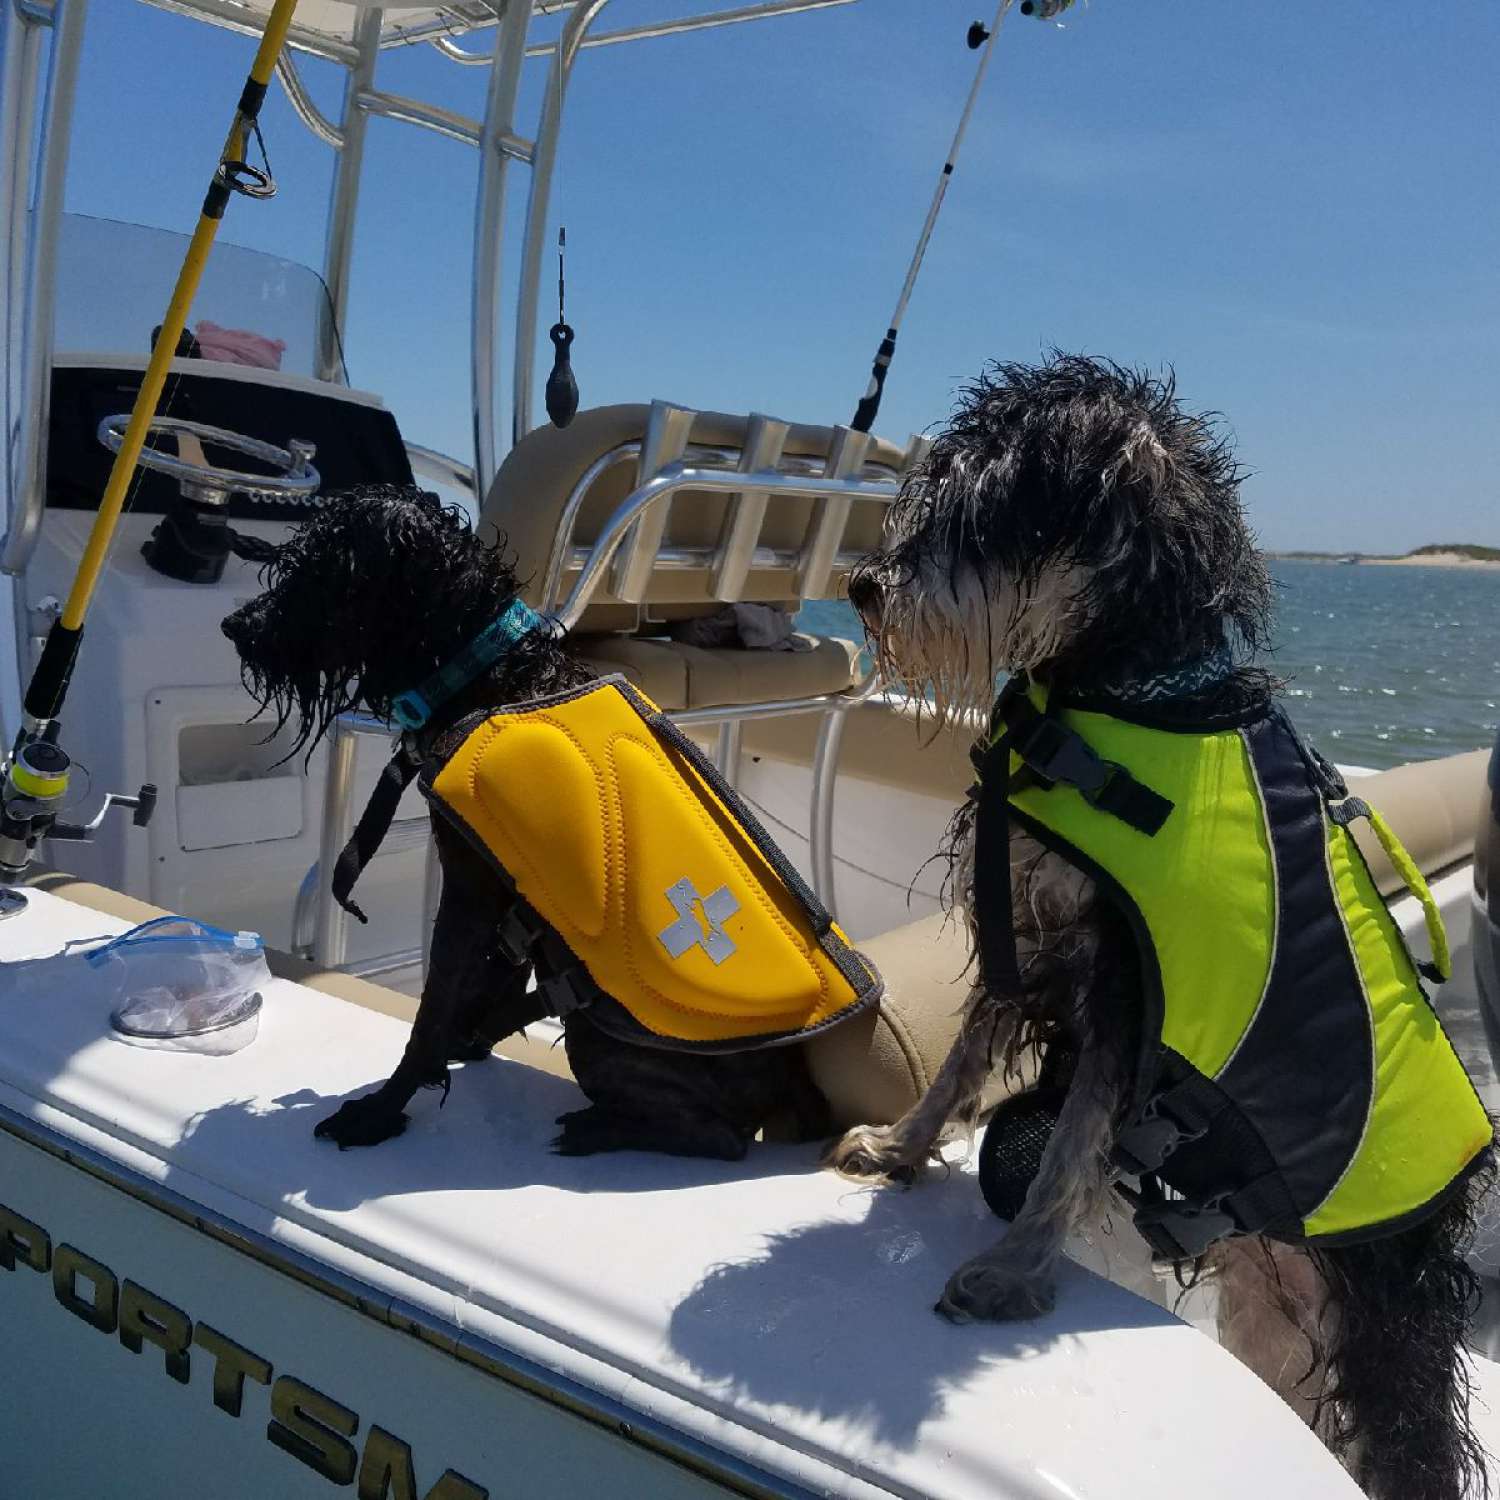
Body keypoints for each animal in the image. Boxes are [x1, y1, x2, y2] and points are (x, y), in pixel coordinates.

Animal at [225, 489, 834, 1158]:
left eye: (321, 573)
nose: (238, 626)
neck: (495, 675)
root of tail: (799, 1083)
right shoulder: (507, 905)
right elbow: (490, 986)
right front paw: (462, 1048)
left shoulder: (469, 890)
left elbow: (431, 1010)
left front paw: (379, 1111)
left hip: (599, 1041)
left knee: (724, 1139)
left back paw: (599, 1128)